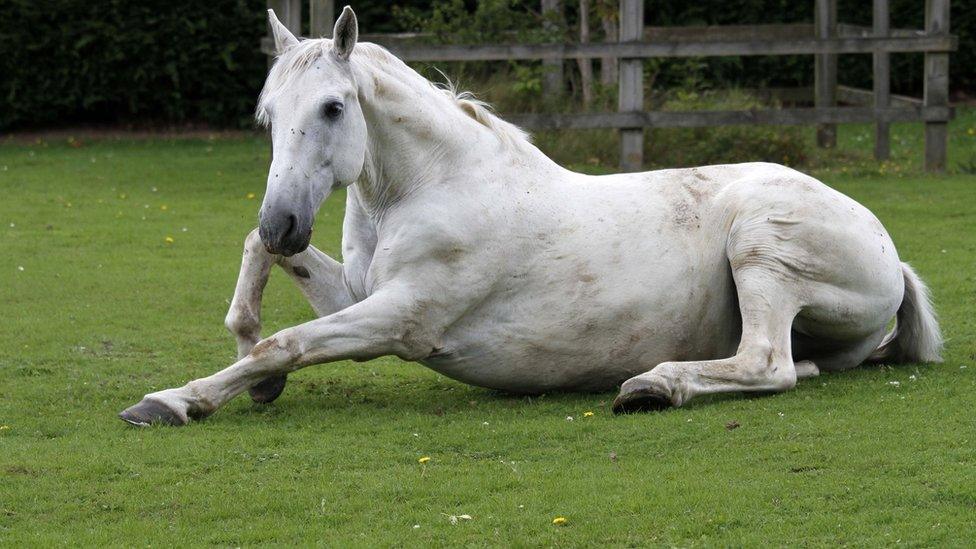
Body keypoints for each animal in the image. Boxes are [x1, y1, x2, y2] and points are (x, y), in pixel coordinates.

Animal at [118, 7, 940, 428]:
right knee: (791, 364)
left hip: (761, 245)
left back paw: (652, 386)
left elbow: (283, 343)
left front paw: (175, 399)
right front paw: (255, 376)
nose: (287, 218)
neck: (430, 186)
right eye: (266, 115)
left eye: (332, 107)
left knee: (767, 363)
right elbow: (260, 269)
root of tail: (892, 254)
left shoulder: (400, 318)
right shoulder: (356, 293)